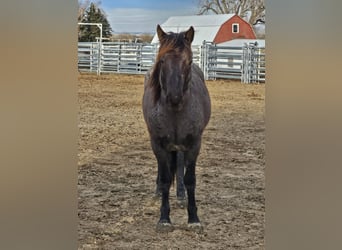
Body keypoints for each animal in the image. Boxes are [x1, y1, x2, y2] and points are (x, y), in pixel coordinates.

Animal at [142, 25, 211, 232]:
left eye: (188, 61)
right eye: (162, 60)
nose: (174, 96)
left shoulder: (194, 144)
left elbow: (190, 179)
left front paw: (193, 218)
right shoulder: (158, 143)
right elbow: (165, 178)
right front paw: (164, 218)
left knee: (179, 165)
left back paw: (180, 195)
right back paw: (158, 191)